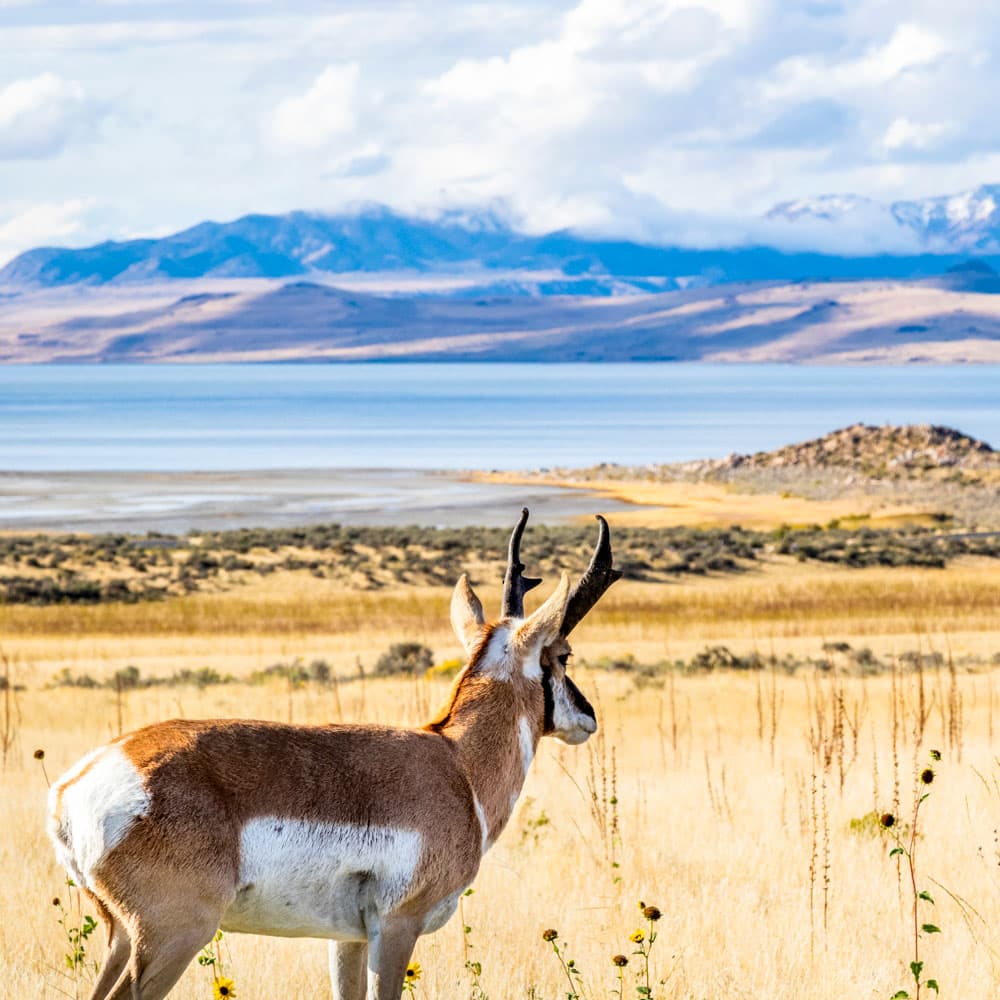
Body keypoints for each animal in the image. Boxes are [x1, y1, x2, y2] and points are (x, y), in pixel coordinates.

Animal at [48, 509, 621, 1000]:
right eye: (563, 655)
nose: (589, 716)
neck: (457, 764)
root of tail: (75, 787)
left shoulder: (346, 938)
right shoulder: (396, 928)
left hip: (122, 937)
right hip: (175, 936)